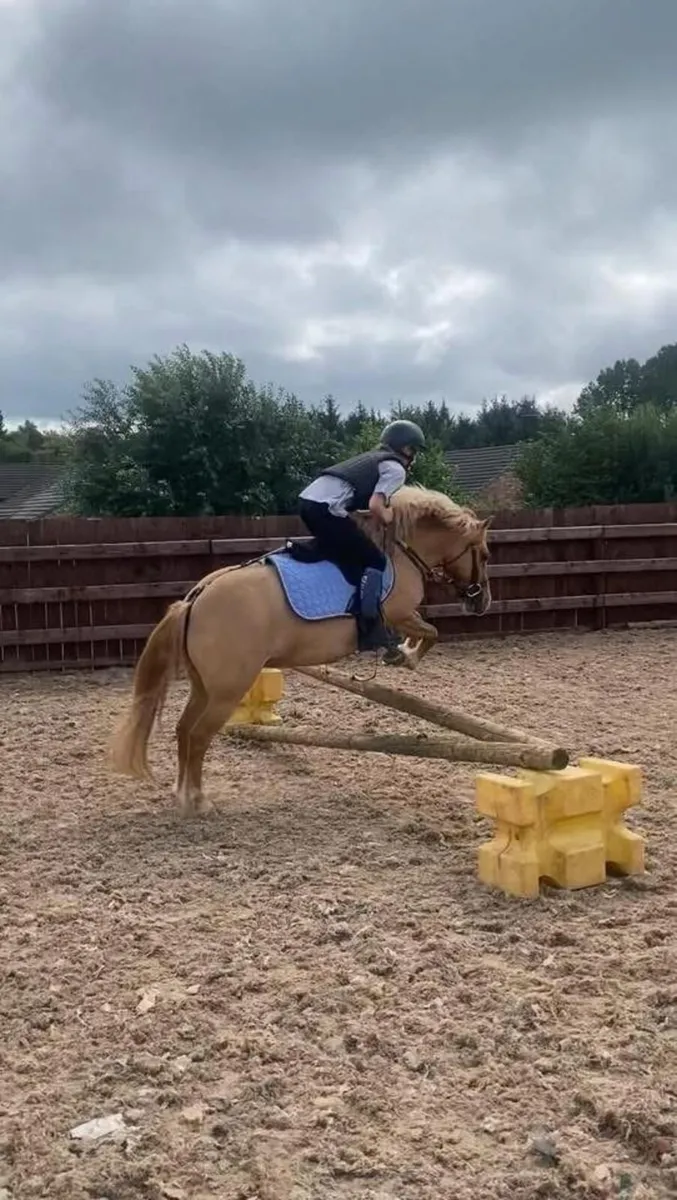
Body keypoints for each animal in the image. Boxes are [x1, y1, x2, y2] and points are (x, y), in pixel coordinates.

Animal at [109, 485, 492, 815]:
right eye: (485, 555)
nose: (482, 602)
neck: (399, 551)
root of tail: (195, 599)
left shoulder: (403, 616)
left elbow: (426, 631)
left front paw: (402, 652)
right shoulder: (399, 613)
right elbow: (431, 632)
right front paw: (405, 656)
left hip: (205, 688)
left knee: (184, 730)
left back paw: (181, 795)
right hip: (227, 691)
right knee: (199, 735)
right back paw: (199, 801)